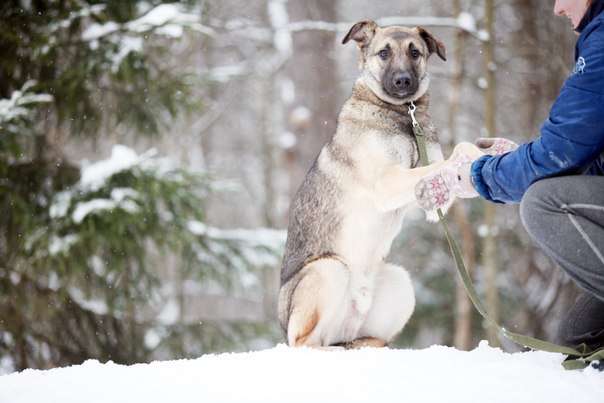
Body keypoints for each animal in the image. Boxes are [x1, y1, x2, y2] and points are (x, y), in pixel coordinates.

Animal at [278, 19, 482, 348]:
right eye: (384, 53)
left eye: (415, 52)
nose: (402, 81)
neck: (404, 116)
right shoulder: (388, 182)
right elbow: (452, 154)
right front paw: (478, 154)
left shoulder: (421, 199)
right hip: (329, 269)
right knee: (305, 344)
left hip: (400, 282)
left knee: (359, 340)